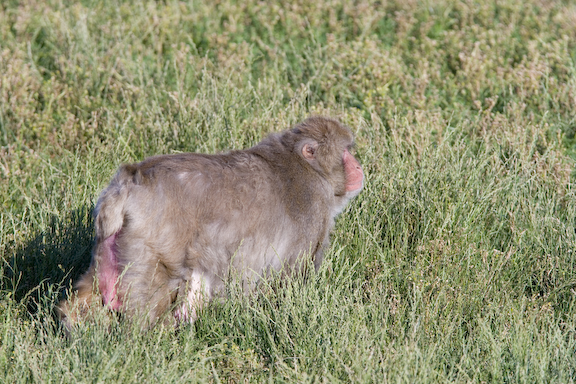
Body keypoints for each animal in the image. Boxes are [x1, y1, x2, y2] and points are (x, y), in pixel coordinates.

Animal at [58, 116, 364, 328]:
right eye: (346, 152)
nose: (359, 167)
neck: (308, 167)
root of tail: (129, 181)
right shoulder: (312, 212)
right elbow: (291, 278)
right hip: (152, 243)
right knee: (155, 291)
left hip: (109, 244)